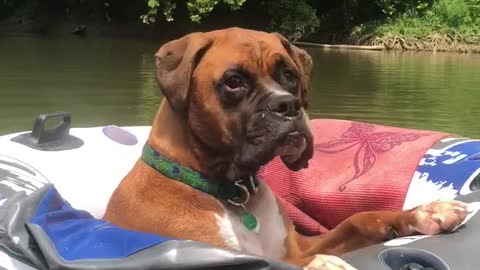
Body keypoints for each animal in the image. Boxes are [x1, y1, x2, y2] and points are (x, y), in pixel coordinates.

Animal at [103, 28, 466, 270]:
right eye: (234, 82)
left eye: (289, 75)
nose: (288, 104)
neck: (235, 195)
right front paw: (322, 264)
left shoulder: (301, 246)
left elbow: (358, 220)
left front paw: (424, 212)